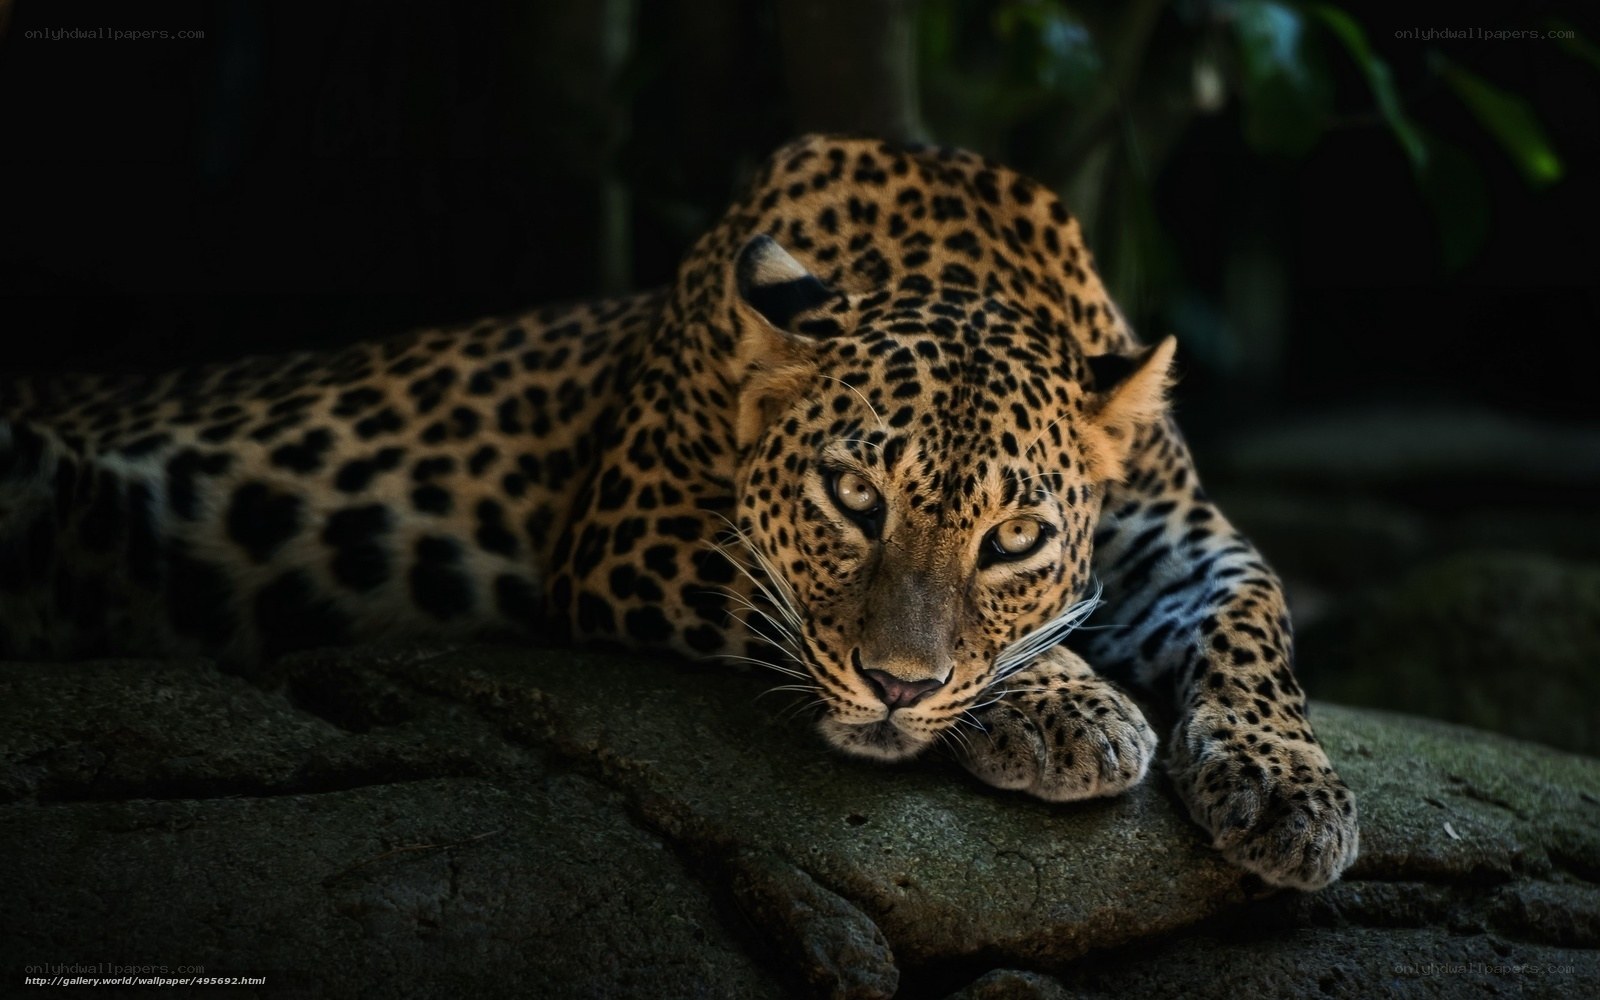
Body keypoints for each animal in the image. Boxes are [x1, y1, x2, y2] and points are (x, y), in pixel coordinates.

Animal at [0, 134, 1357, 890]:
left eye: (1013, 537)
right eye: (851, 497)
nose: (900, 690)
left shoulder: (1183, 537)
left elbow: (1258, 620)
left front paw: (1289, 789)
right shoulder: (630, 530)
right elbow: (798, 607)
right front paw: (1072, 706)